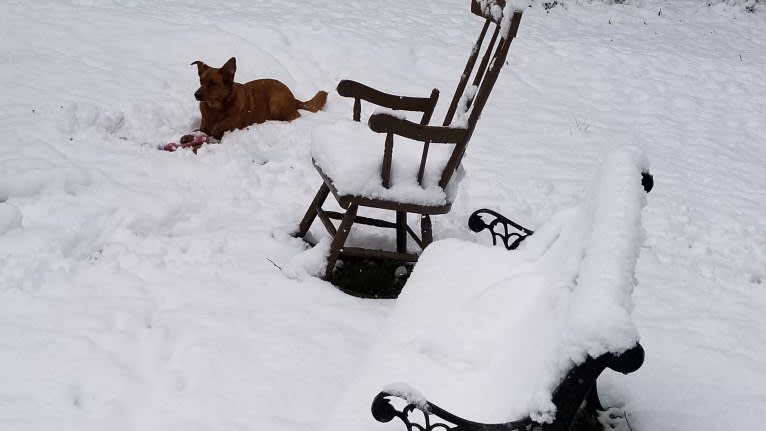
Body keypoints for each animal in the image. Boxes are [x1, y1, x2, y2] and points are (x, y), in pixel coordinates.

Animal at [190, 56, 328, 139]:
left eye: (213, 83)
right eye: (201, 81)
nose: (196, 95)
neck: (216, 109)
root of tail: (293, 98)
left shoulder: (230, 126)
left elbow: (219, 128)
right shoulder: (203, 126)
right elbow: (201, 130)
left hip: (276, 102)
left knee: (295, 116)